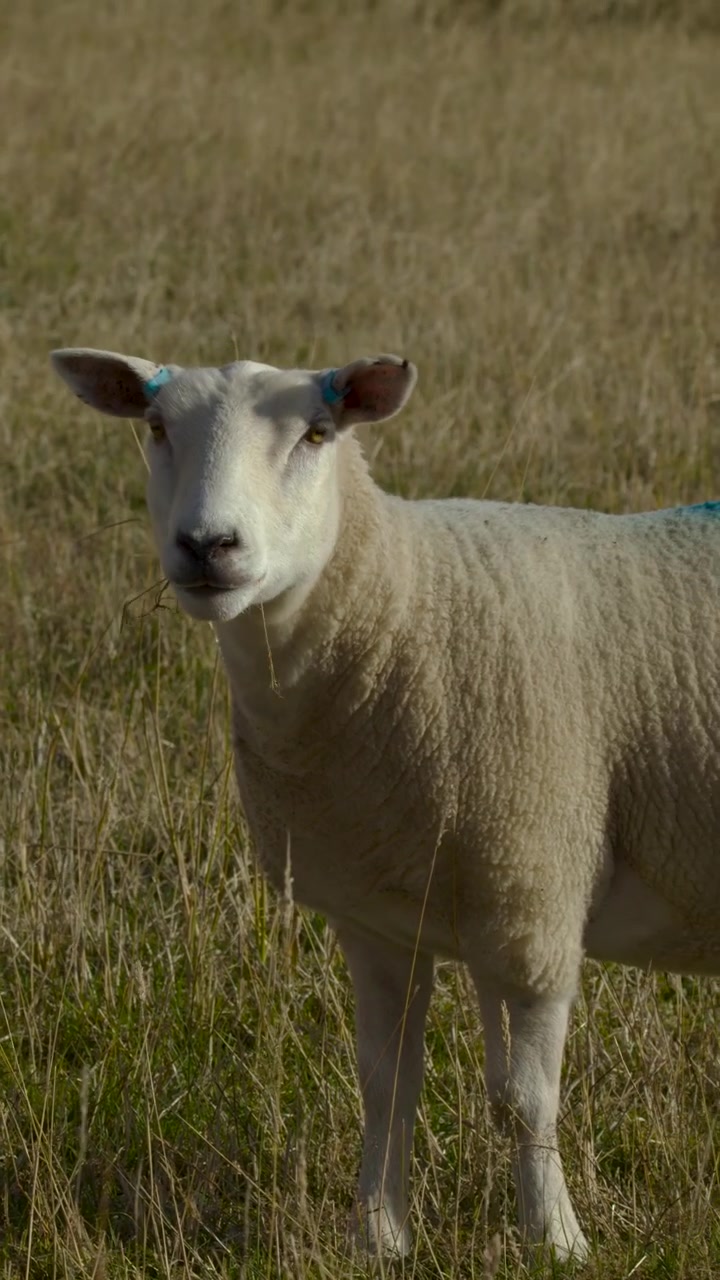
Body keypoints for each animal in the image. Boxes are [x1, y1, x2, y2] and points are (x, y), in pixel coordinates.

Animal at [50, 345, 720, 1263]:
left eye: (316, 433)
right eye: (155, 426)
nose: (208, 545)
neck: (404, 599)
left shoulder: (530, 896)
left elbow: (524, 1100)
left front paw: (554, 1241)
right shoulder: (380, 915)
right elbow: (385, 1083)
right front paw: (376, 1235)